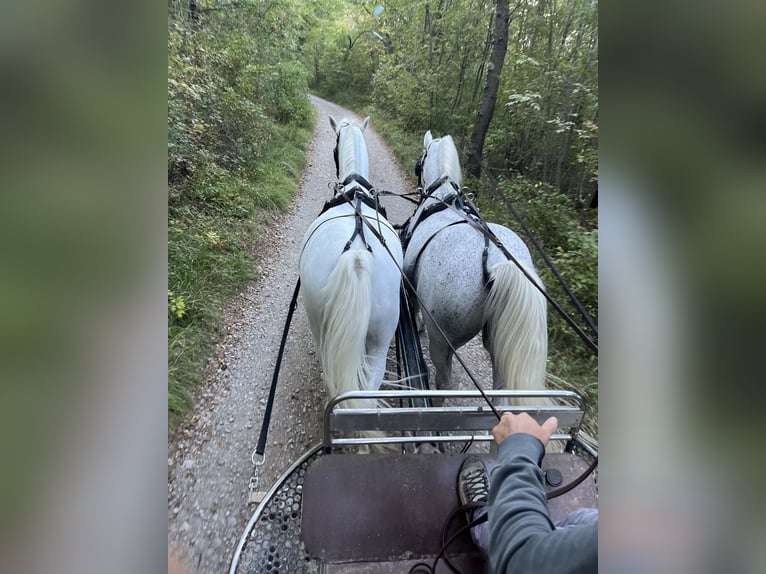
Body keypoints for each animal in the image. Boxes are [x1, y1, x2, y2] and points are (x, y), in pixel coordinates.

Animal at [404, 133, 548, 408]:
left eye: (419, 162)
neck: (443, 200)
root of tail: (496, 262)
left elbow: (414, 308)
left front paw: (417, 326)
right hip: (502, 343)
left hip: (443, 339)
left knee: (444, 383)